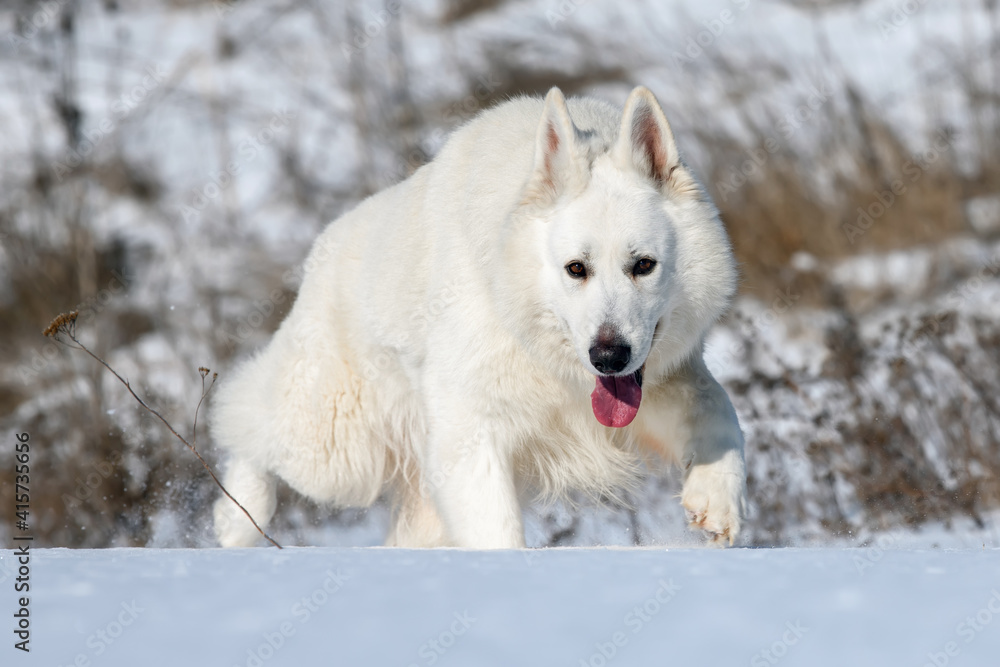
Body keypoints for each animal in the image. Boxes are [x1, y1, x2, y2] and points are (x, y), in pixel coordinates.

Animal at [211, 87, 748, 548]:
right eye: (576, 268)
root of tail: (324, 245)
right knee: (246, 415)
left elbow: (719, 411)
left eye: (643, 265)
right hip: (335, 449)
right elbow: (498, 535)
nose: (609, 356)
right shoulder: (472, 431)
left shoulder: (660, 384)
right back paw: (237, 521)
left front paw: (718, 497)